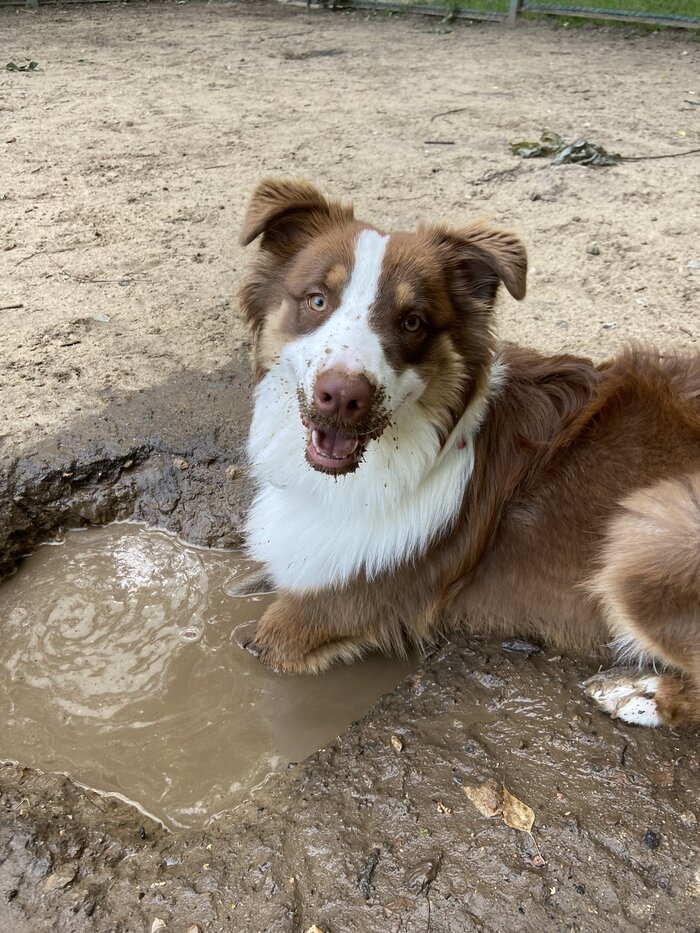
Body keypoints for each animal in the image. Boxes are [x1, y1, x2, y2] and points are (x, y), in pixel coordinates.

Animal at [237, 175, 700, 728]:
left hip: (654, 528)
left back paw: (638, 693)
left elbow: (252, 642)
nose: (343, 396)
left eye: (413, 322)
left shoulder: (323, 611)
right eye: (316, 299)